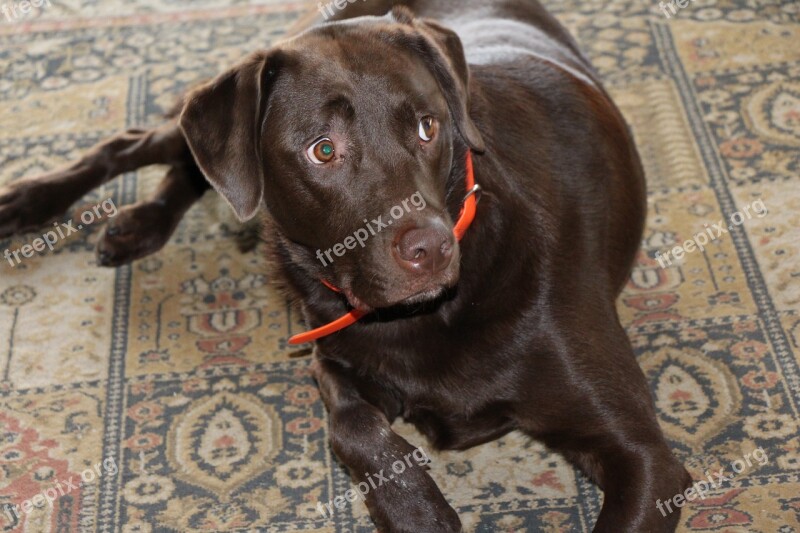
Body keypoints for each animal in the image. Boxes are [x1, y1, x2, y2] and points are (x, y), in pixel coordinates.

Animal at [0, 0, 688, 528]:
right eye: (323, 150)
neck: (430, 317)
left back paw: (137, 221)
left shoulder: (646, 458)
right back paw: (32, 202)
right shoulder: (331, 356)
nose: (432, 249)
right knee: (147, 144)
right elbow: (352, 426)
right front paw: (415, 508)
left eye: (428, 127)